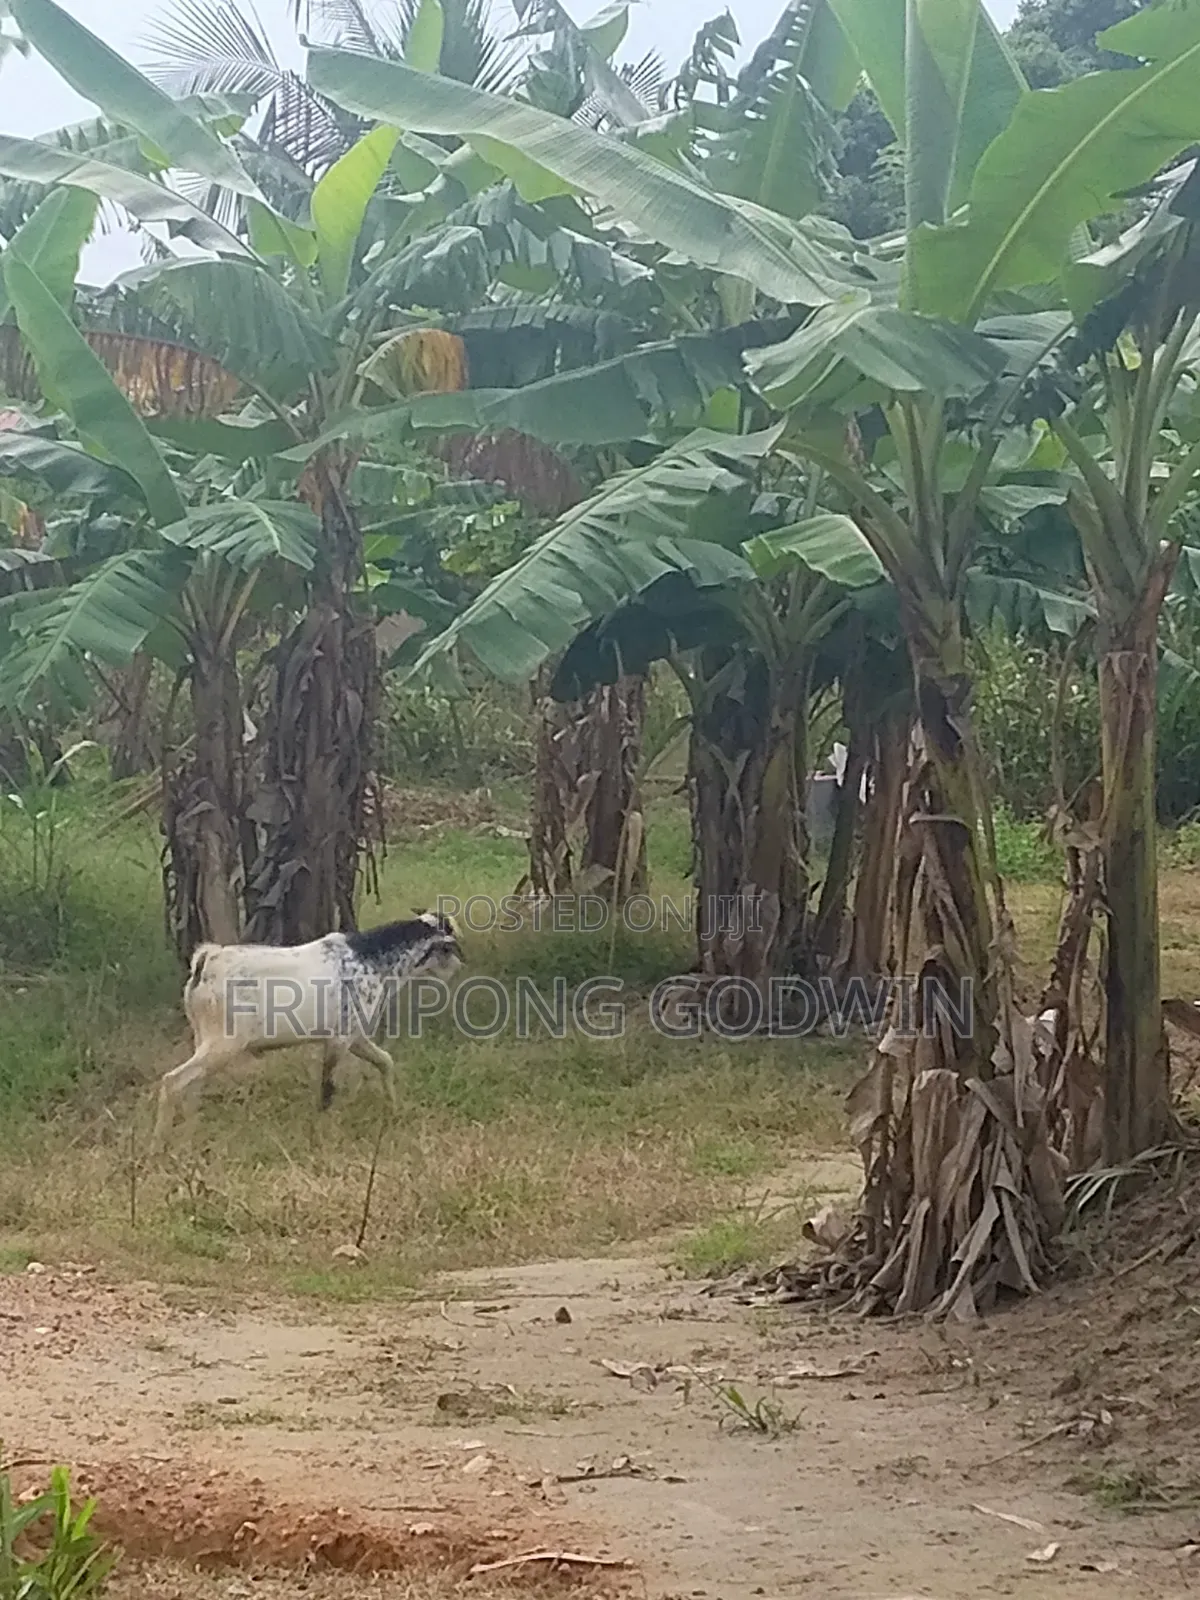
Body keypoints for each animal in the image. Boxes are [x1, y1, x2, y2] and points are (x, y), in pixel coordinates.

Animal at [151, 912, 462, 1149]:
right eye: (450, 944)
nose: (459, 965)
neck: (371, 959)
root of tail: (207, 960)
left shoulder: (355, 1037)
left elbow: (386, 1062)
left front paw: (394, 1109)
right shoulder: (339, 1040)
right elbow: (327, 1090)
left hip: (204, 1039)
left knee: (192, 1087)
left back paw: (190, 1137)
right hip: (225, 1044)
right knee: (173, 1082)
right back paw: (159, 1145)